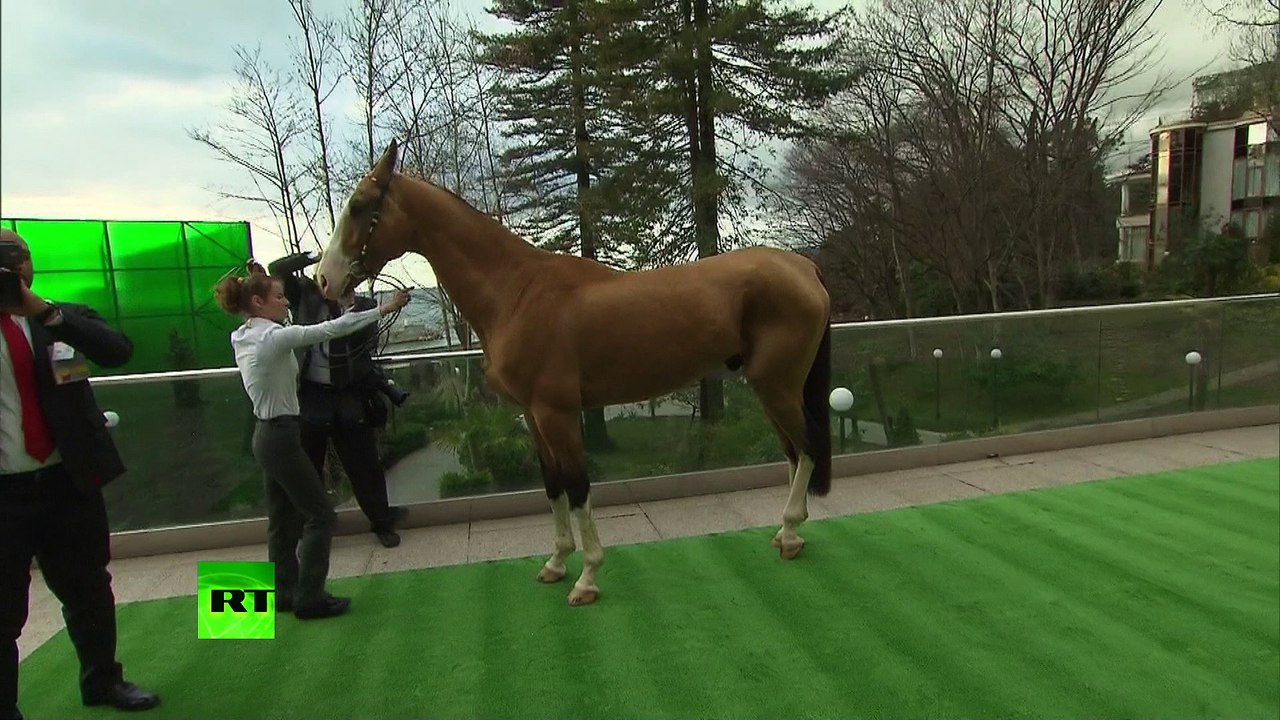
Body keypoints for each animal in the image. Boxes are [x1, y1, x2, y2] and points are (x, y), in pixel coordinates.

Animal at [315, 140, 833, 606]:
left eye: (359, 206)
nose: (325, 279)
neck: (517, 293)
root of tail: (802, 266)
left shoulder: (558, 413)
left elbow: (579, 486)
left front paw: (587, 577)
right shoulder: (533, 415)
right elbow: (553, 486)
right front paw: (556, 563)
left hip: (776, 385)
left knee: (806, 447)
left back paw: (790, 533)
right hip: (772, 388)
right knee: (793, 452)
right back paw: (787, 532)